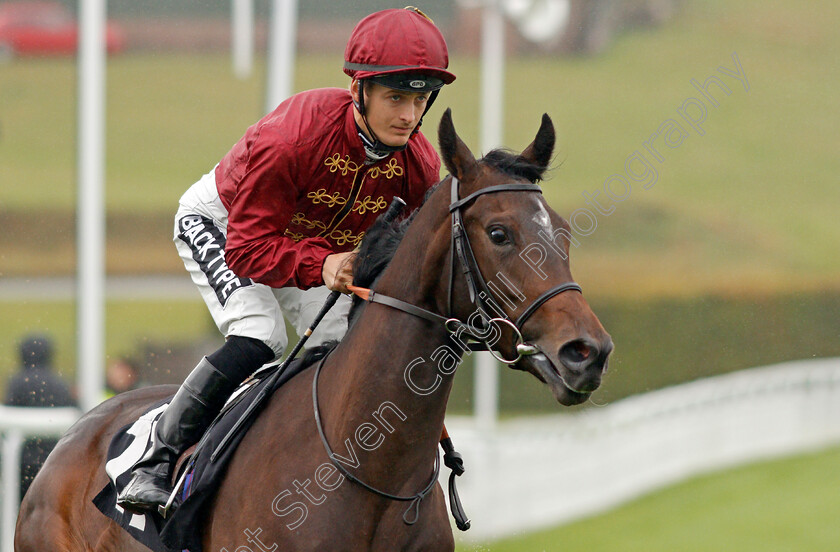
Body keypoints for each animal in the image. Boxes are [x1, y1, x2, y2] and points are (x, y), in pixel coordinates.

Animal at [16, 110, 612, 548]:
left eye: (562, 233)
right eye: (499, 232)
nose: (588, 351)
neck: (371, 474)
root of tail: (73, 433)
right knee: (253, 335)